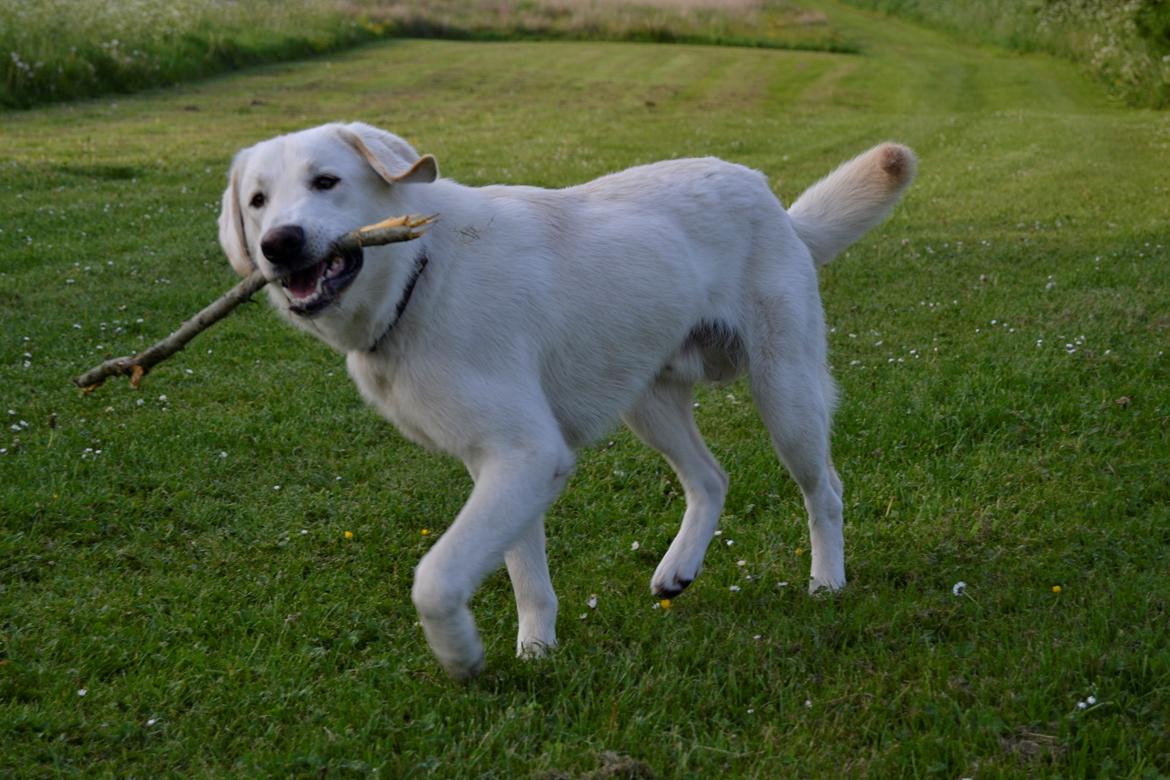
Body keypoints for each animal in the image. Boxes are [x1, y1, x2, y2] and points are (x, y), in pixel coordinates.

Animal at [217, 125, 912, 678]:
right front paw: (537, 650)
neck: (424, 269)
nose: (279, 243)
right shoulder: (506, 464)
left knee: (825, 491)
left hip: (785, 395)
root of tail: (775, 203)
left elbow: (436, 579)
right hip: (646, 402)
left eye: (326, 181)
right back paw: (679, 569)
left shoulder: (526, 455)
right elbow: (527, 577)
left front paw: (461, 655)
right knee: (711, 478)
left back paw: (827, 582)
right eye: (257, 201)